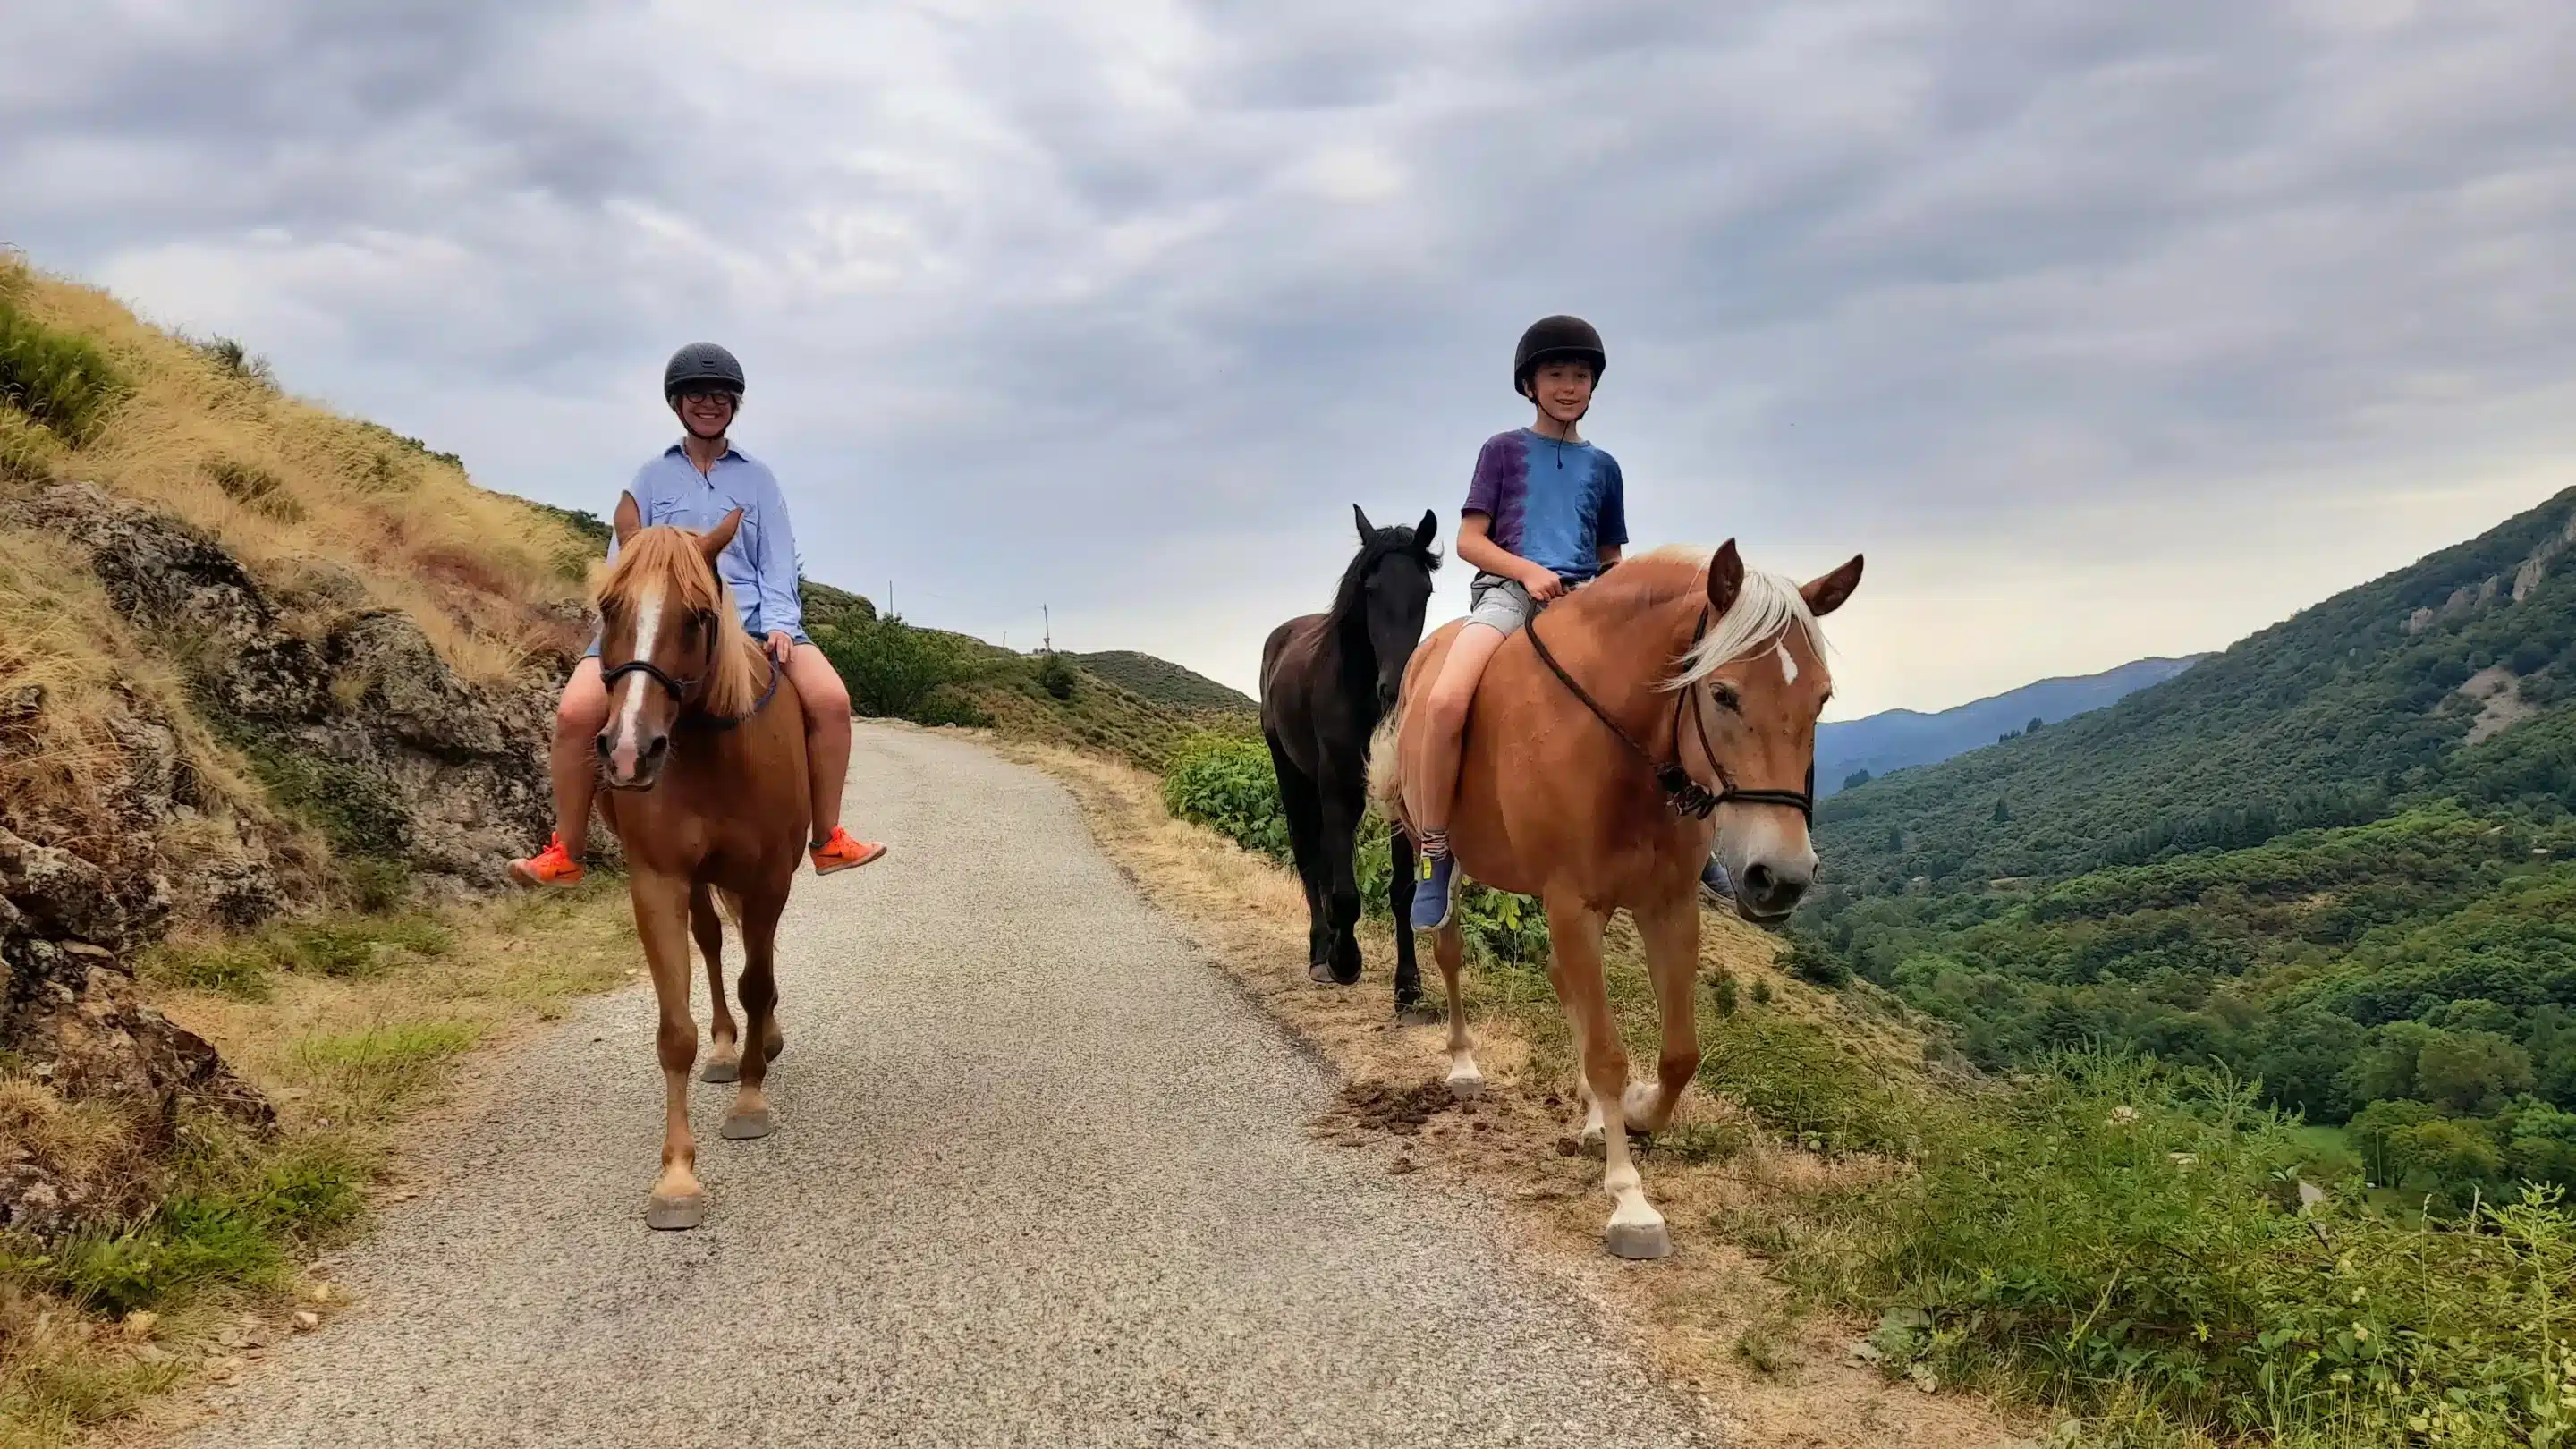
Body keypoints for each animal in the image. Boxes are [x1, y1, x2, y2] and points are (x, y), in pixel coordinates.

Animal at [597, 503, 809, 1222]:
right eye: (607, 606)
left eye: (697, 615)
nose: (630, 751)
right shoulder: (658, 882)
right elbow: (675, 1032)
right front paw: (677, 1176)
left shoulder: (769, 879)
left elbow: (757, 982)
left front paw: (750, 1100)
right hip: (697, 884)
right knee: (713, 942)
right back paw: (725, 1046)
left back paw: (759, 1042)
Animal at [1257, 504, 1442, 1005]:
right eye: (1371, 589)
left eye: (1425, 590)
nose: (1395, 690)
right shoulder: (1337, 787)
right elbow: (1343, 892)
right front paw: (1345, 960)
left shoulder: (1396, 795)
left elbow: (1403, 890)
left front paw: (1408, 983)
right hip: (1292, 774)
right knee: (1309, 857)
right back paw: (1322, 952)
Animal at [1380, 541, 1865, 1252]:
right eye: (1721, 693)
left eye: (1821, 699)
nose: (1782, 877)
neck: (1627, 750)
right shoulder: (1572, 904)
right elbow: (1609, 1054)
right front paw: (1629, 1199)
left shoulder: (1666, 908)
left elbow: (1679, 1055)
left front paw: (1630, 1113)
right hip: (1440, 853)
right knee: (1449, 949)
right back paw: (1465, 1065)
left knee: (1564, 982)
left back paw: (1588, 1117)